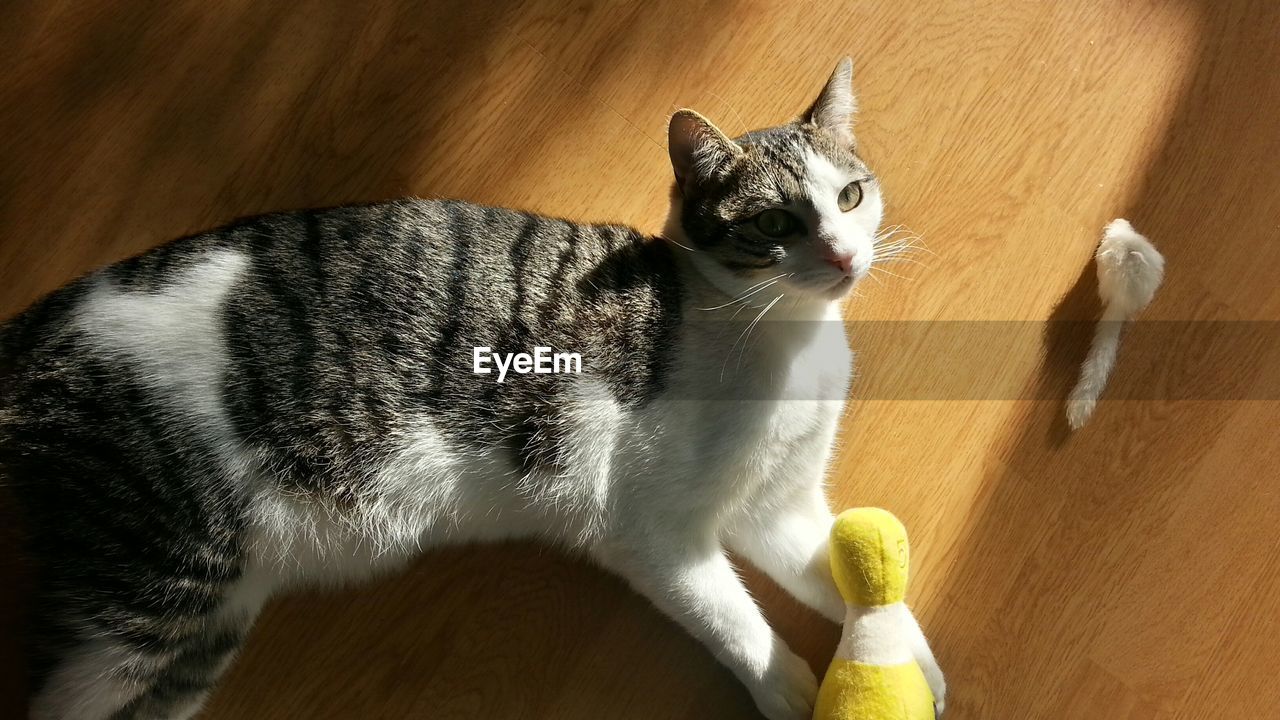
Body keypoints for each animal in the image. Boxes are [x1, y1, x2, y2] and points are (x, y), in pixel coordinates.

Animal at [0, 57, 942, 717]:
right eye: (777, 222)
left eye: (850, 196)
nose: (845, 257)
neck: (785, 338)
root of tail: (37, 326)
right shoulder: (654, 531)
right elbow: (737, 623)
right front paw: (790, 689)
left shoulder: (778, 507)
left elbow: (844, 576)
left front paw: (910, 661)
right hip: (151, 592)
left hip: (201, 628)